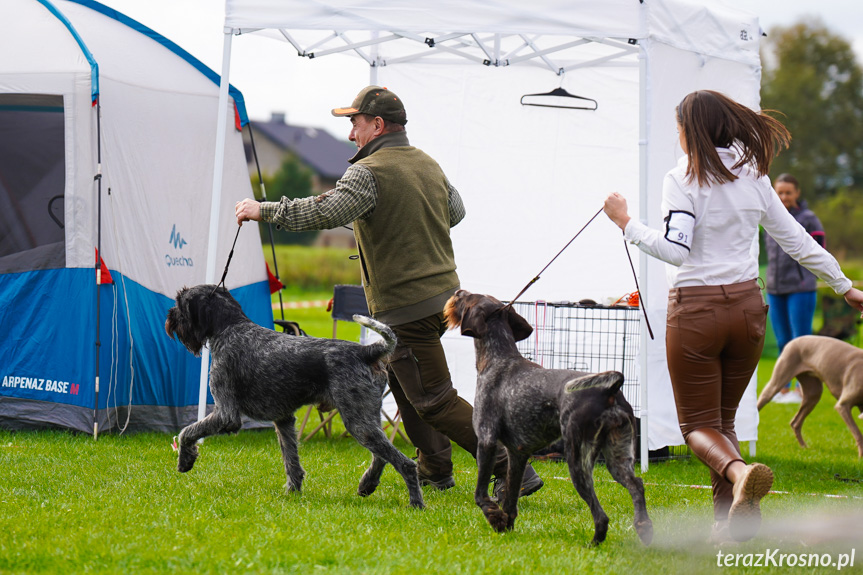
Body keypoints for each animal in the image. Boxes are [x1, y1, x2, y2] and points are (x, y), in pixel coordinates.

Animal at [165, 284, 426, 508]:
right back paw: (367, 484)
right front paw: (293, 493)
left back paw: (416, 503)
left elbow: (187, 431)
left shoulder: (226, 414)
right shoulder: (284, 419)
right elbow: (291, 461)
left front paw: (185, 460)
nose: (169, 318)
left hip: (358, 421)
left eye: (180, 302)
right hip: (368, 418)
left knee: (404, 463)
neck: (230, 327)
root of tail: (366, 351)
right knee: (381, 456)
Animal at [446, 290, 656, 548]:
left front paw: (495, 518)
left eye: (466, 298)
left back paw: (593, 544)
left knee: (601, 514)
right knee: (638, 486)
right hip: (617, 459)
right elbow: (511, 501)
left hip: (578, 459)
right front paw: (507, 527)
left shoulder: (486, 441)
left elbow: (480, 495)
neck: (498, 358)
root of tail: (610, 390)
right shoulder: (518, 453)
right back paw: (644, 529)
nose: (456, 292)